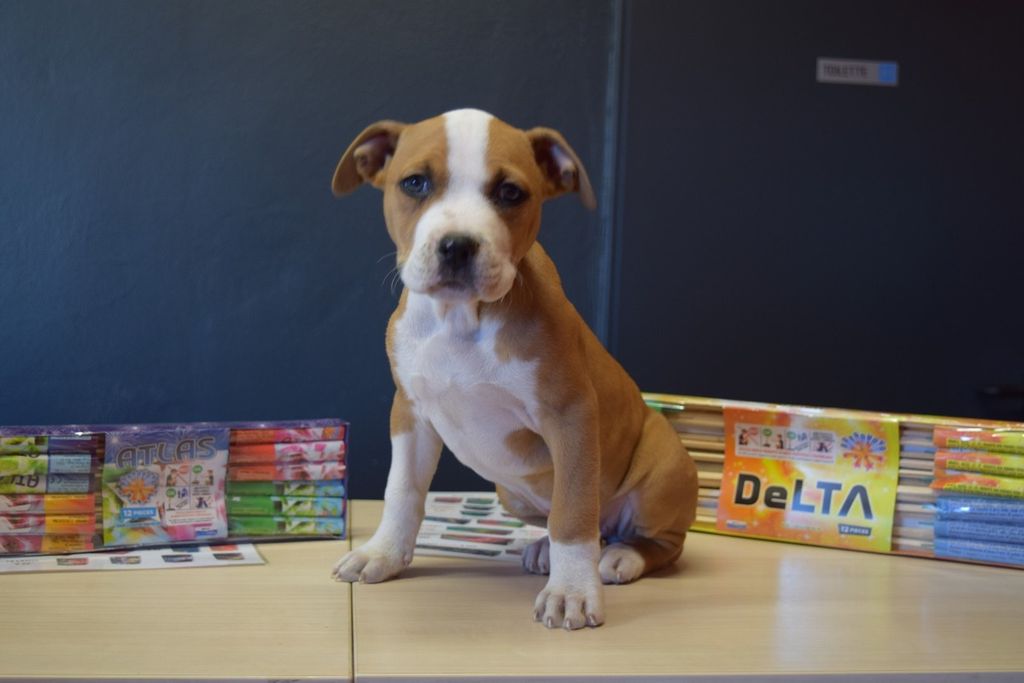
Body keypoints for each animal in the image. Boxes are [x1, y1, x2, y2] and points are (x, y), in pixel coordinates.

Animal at [330, 109, 698, 630]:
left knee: (653, 540)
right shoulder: (410, 413)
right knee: (585, 523)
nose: (457, 246)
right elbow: (402, 489)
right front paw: (382, 553)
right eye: (415, 183)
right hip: (512, 493)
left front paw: (571, 592)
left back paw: (622, 557)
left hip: (664, 467)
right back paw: (547, 549)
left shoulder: (571, 417)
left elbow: (574, 512)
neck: (461, 319)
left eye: (510, 193)